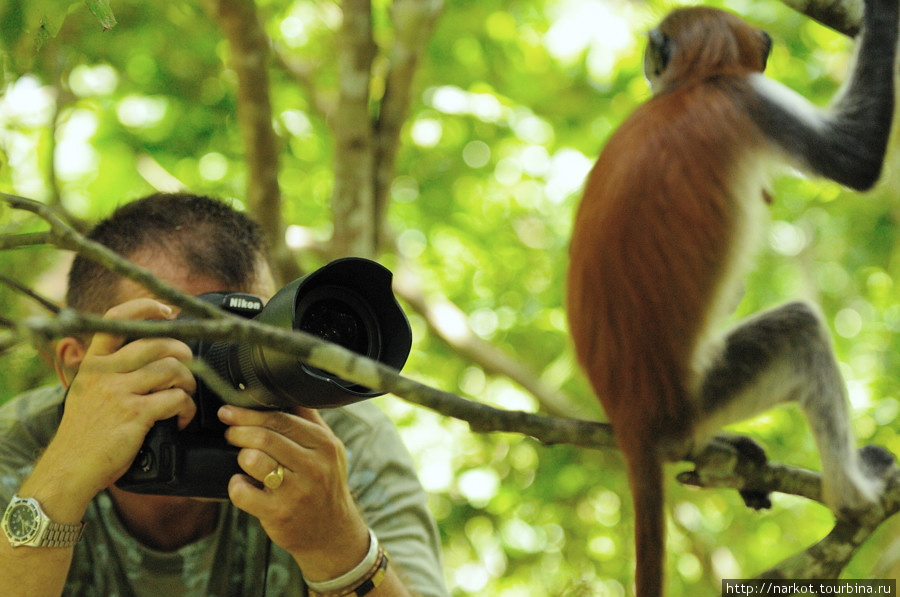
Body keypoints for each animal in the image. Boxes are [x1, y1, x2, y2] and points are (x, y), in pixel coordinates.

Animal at [568, 2, 896, 592]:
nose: (646, 62)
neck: (692, 86)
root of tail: (630, 418)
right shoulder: (747, 97)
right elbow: (856, 159)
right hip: (700, 395)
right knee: (800, 329)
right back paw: (853, 497)